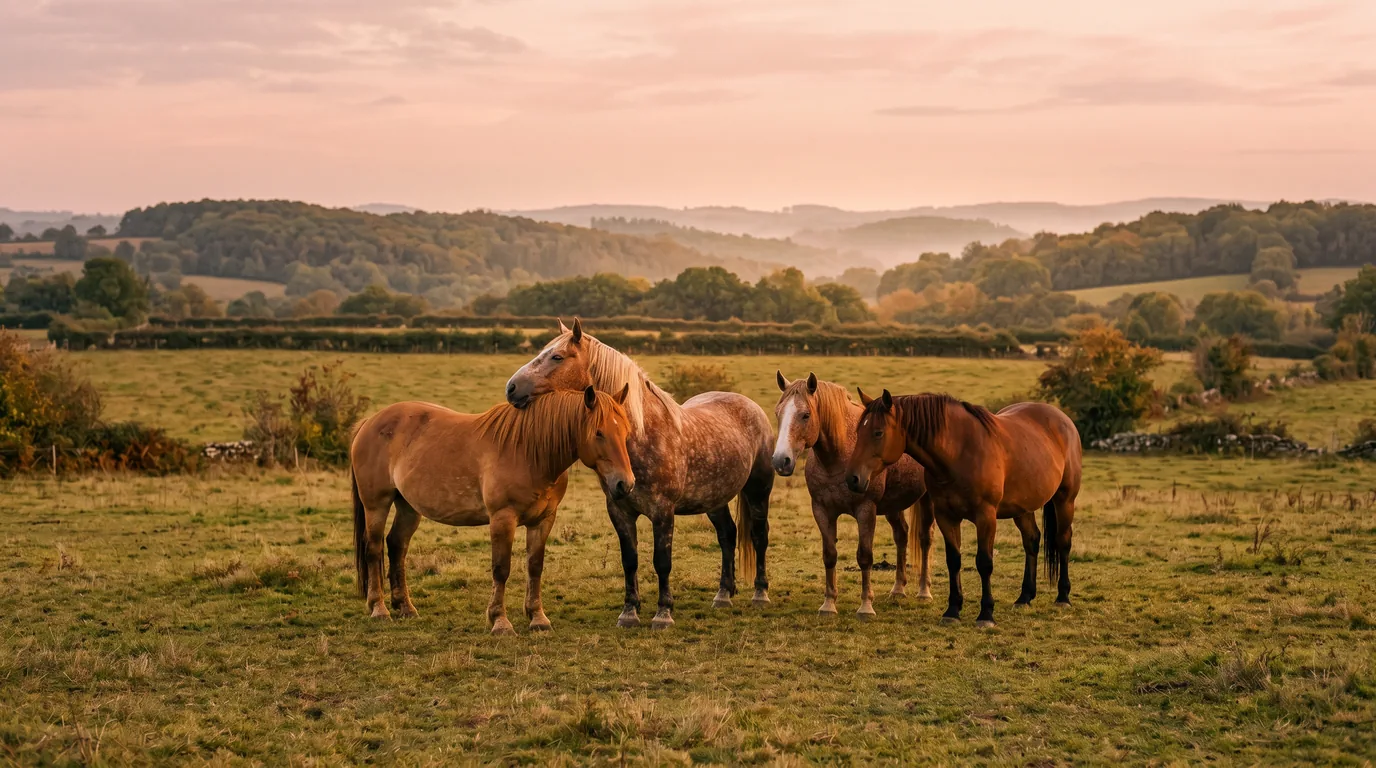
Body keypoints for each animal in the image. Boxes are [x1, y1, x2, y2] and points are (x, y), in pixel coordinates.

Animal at [349, 385, 635, 634]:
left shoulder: (543, 520)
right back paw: (379, 608)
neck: (529, 452)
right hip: (376, 504)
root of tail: (370, 422)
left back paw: (405, 607)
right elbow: (501, 569)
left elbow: (535, 566)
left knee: (397, 545)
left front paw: (537, 618)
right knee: (374, 549)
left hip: (408, 507)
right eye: (599, 432)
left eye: (626, 432)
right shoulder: (502, 519)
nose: (625, 484)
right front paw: (500, 621)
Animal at [505, 319, 775, 629]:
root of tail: (750, 406)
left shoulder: (663, 512)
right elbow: (629, 560)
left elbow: (662, 561)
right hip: (714, 499)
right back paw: (723, 595)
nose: (512, 388)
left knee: (759, 535)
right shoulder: (620, 510)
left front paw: (663, 613)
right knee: (727, 535)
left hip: (758, 491)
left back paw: (760, 594)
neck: (643, 435)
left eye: (557, 357)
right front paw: (629, 612)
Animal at [773, 372, 934, 618]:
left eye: (805, 415)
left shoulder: (866, 510)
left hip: (927, 500)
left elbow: (865, 556)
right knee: (902, 535)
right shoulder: (822, 510)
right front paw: (828, 604)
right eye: (777, 412)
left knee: (925, 539)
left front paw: (866, 606)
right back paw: (898, 589)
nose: (781, 461)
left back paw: (924, 591)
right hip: (893, 506)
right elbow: (829, 554)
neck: (840, 456)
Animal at [845, 390, 1081, 628]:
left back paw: (1063, 597)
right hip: (1022, 509)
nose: (852, 479)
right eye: (858, 431)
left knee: (1063, 541)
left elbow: (984, 562)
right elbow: (954, 560)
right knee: (1031, 541)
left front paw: (986, 614)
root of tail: (1062, 419)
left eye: (878, 432)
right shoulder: (946, 516)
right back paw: (1024, 597)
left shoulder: (986, 517)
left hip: (1065, 500)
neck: (960, 452)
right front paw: (952, 610)